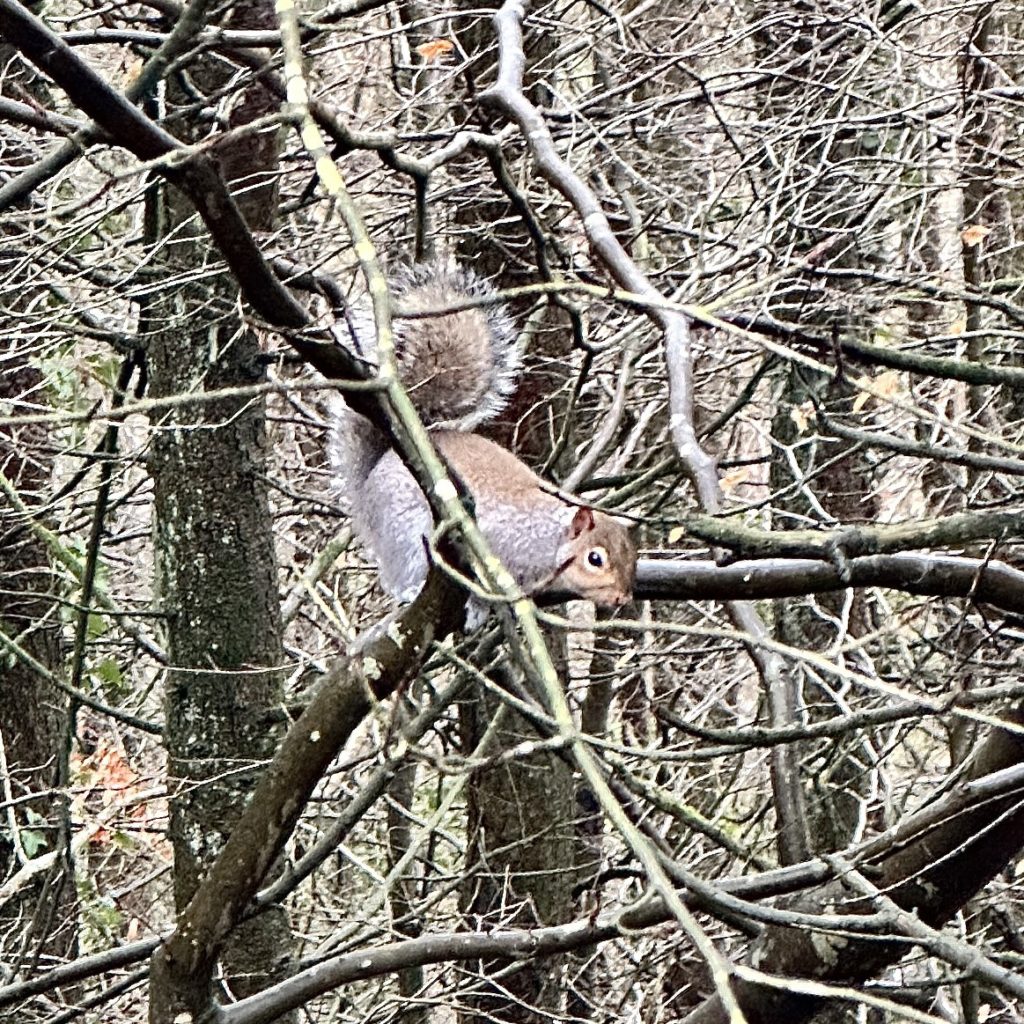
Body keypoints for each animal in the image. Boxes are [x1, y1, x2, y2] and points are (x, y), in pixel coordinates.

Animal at [327, 260, 634, 618]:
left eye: (632, 555)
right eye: (594, 559)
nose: (622, 598)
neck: (549, 540)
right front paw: (477, 606)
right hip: (404, 532)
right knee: (403, 571)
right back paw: (410, 590)